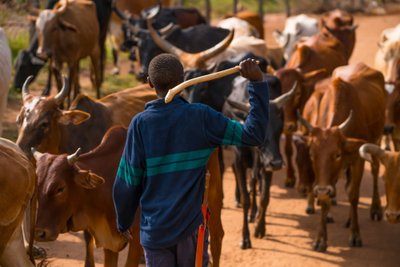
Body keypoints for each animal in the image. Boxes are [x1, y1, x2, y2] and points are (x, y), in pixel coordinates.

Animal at [222, 73, 284, 249]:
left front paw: (260, 227)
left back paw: (254, 214)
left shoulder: (266, 166)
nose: (277, 163)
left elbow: (264, 197)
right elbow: (246, 199)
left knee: (255, 182)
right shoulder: (239, 161)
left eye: (280, 127)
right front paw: (245, 238)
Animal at [296, 63, 388, 253]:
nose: (321, 190)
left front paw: (355, 235)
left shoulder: (358, 160)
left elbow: (353, 195)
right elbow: (326, 199)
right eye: (312, 154)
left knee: (375, 170)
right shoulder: (325, 179)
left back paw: (375, 209)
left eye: (337, 154)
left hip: (375, 142)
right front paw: (320, 240)